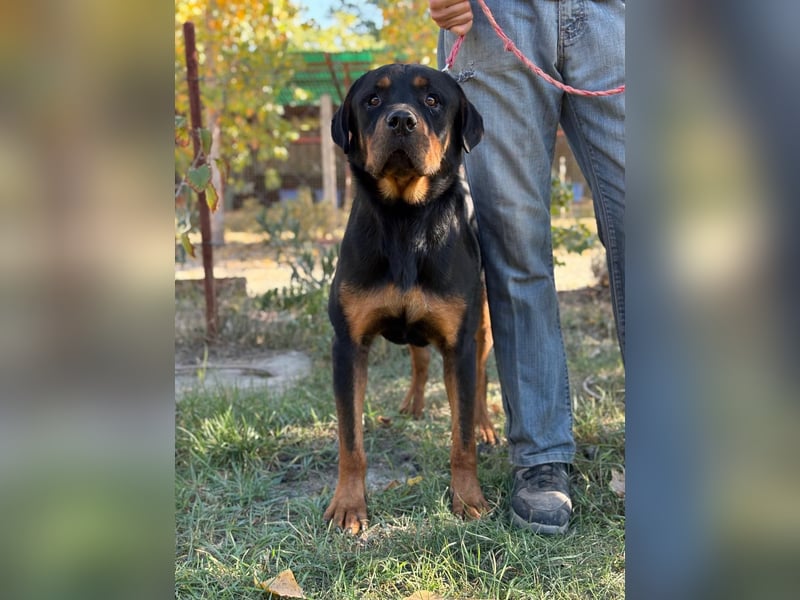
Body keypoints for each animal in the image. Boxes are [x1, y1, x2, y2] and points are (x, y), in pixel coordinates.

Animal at [325, 64, 495, 534]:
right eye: (372, 100)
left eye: (433, 100)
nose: (401, 120)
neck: (405, 220)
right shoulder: (348, 345)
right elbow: (350, 440)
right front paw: (348, 505)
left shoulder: (459, 344)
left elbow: (462, 437)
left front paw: (468, 498)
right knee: (419, 361)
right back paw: (414, 404)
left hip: (484, 327)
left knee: (480, 380)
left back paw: (487, 424)